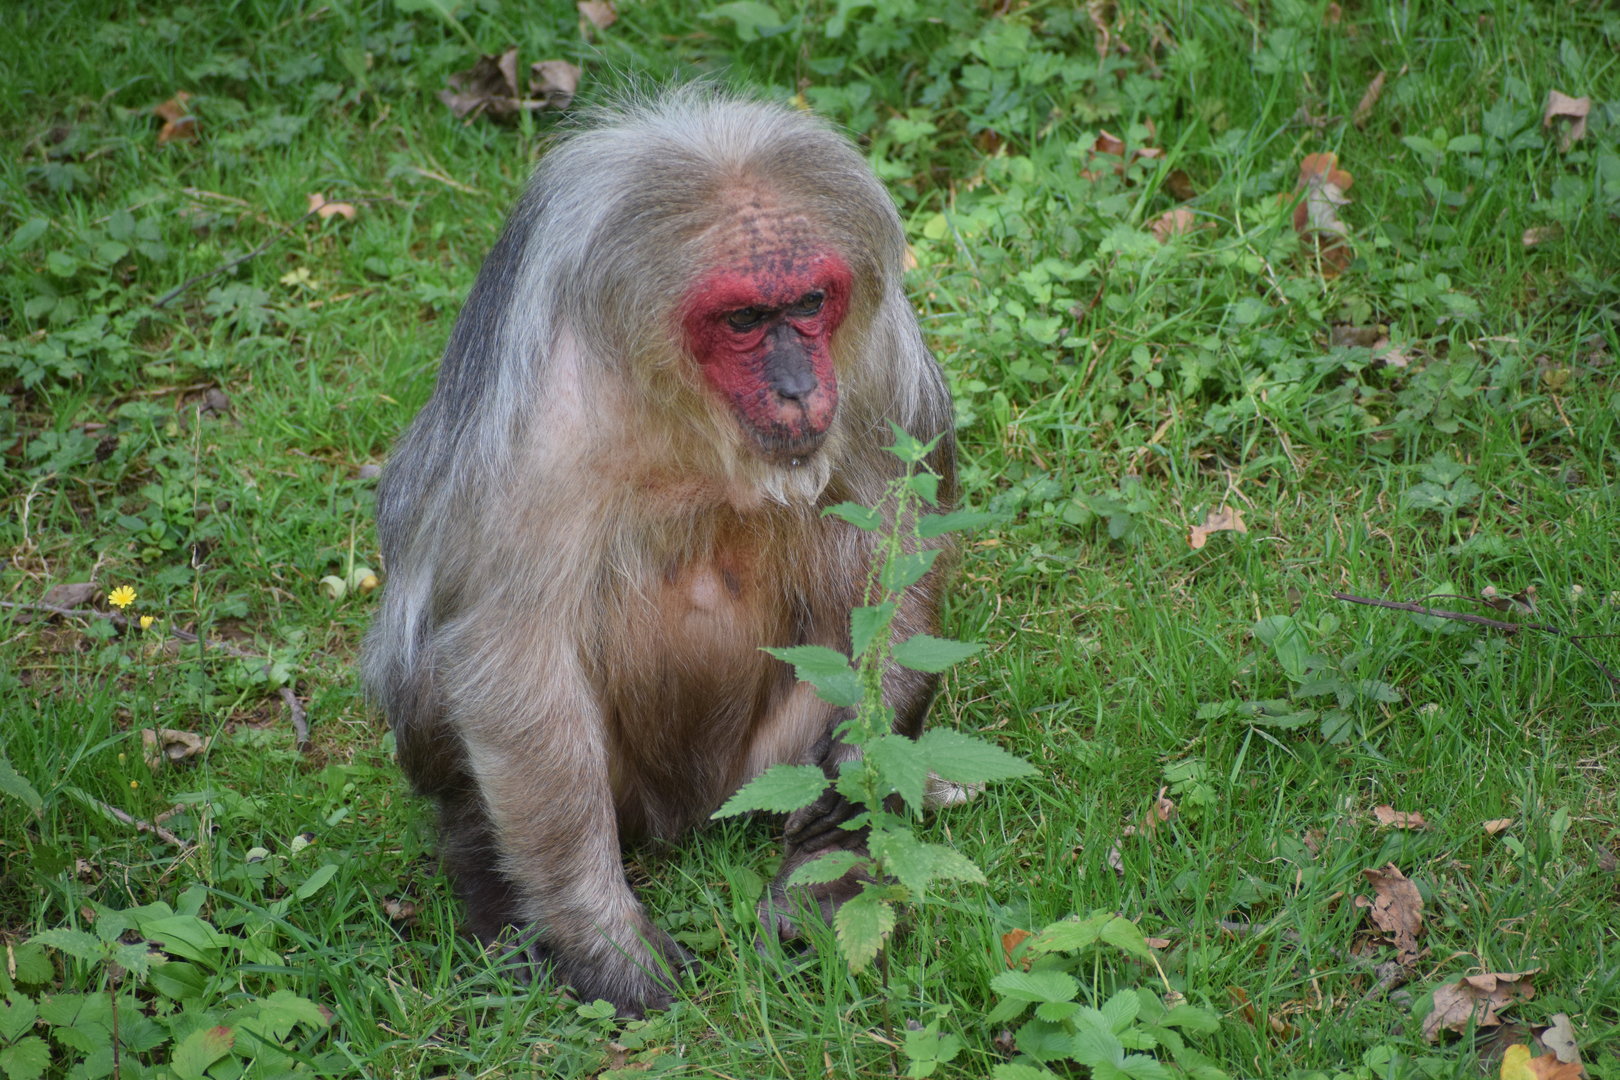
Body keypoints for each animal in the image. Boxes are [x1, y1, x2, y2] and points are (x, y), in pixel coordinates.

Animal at [361, 87, 956, 1018]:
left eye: (810, 302)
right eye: (744, 319)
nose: (798, 386)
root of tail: (689, 814)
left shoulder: (881, 355)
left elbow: (904, 548)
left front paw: (862, 775)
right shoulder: (542, 409)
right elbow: (508, 652)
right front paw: (598, 940)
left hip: (762, 763)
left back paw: (828, 877)